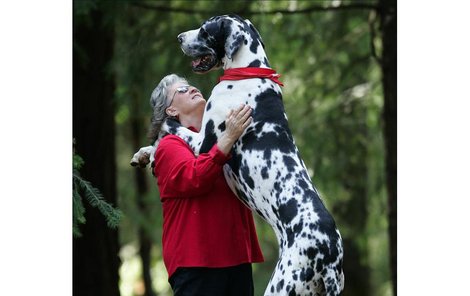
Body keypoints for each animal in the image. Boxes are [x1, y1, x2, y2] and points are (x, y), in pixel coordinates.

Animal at [132, 14, 346, 296]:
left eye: (205, 30)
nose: (179, 37)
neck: (248, 72)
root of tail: (332, 256)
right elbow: (160, 145)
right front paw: (144, 154)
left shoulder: (204, 143)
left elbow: (175, 130)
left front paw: (162, 128)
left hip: (281, 285)